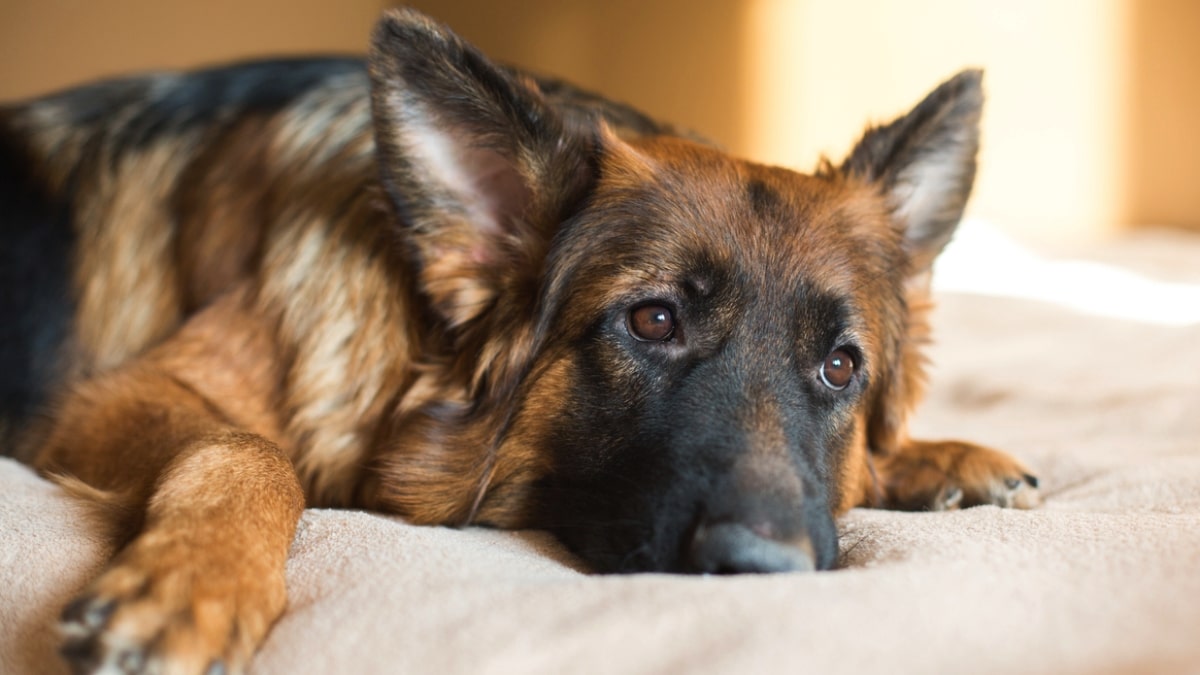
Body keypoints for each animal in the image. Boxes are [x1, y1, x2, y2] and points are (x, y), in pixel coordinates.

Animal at [0, 6, 1036, 672]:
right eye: (653, 320)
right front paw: (196, 581)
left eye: (839, 365)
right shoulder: (115, 399)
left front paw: (939, 456)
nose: (766, 574)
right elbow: (247, 447)